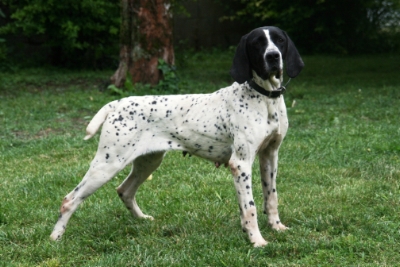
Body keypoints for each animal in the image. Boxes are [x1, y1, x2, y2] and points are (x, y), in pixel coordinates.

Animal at [51, 26, 304, 248]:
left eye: (279, 40)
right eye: (257, 43)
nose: (273, 56)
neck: (264, 97)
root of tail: (117, 103)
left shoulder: (270, 156)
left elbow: (271, 197)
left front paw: (277, 227)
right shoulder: (240, 164)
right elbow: (250, 208)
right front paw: (256, 241)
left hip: (148, 161)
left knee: (124, 190)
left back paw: (142, 220)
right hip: (107, 164)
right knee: (69, 200)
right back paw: (55, 238)